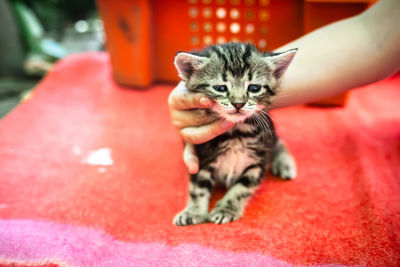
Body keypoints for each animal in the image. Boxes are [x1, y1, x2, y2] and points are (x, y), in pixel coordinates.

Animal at [173, 42, 296, 226]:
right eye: (220, 87)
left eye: (254, 88)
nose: (238, 103)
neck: (235, 133)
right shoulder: (201, 157)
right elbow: (198, 187)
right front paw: (193, 211)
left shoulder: (257, 161)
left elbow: (241, 189)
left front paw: (226, 209)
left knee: (277, 142)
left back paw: (284, 163)